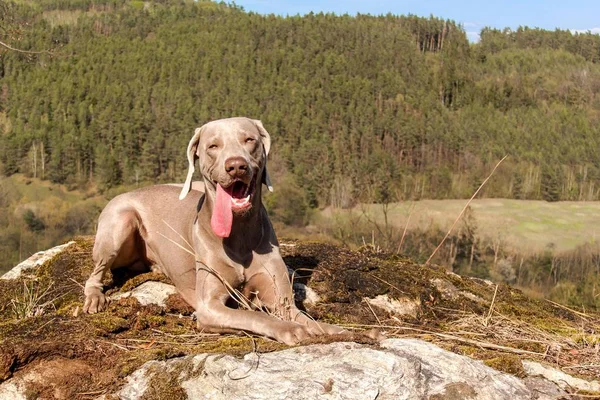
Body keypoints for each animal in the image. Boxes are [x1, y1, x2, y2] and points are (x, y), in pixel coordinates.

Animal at [85, 115, 344, 344]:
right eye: (213, 146)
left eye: (249, 140)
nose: (236, 166)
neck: (240, 235)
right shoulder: (209, 306)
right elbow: (253, 315)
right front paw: (290, 329)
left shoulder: (283, 302)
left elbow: (309, 319)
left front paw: (335, 330)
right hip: (120, 221)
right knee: (96, 273)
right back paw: (94, 298)